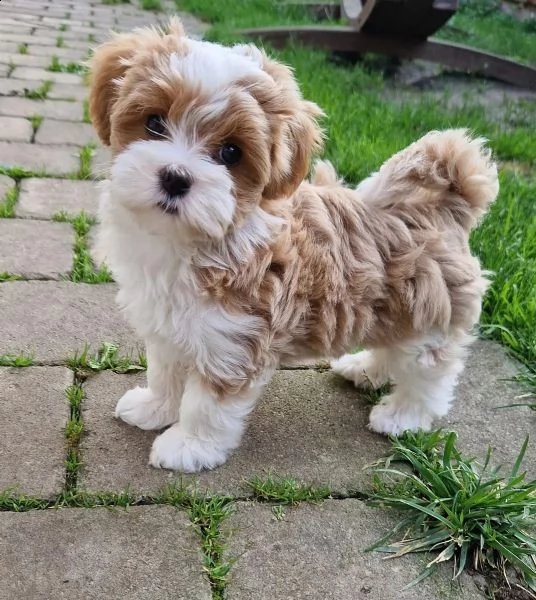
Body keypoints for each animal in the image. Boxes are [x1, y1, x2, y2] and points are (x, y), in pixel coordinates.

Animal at [89, 18, 498, 474]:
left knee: (429, 374)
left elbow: (206, 405)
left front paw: (188, 446)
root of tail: (443, 208)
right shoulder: (171, 328)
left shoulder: (233, 342)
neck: (193, 240)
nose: (176, 177)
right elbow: (165, 373)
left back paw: (401, 415)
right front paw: (154, 407)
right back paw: (364, 369)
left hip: (430, 315)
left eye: (230, 152)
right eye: (154, 123)